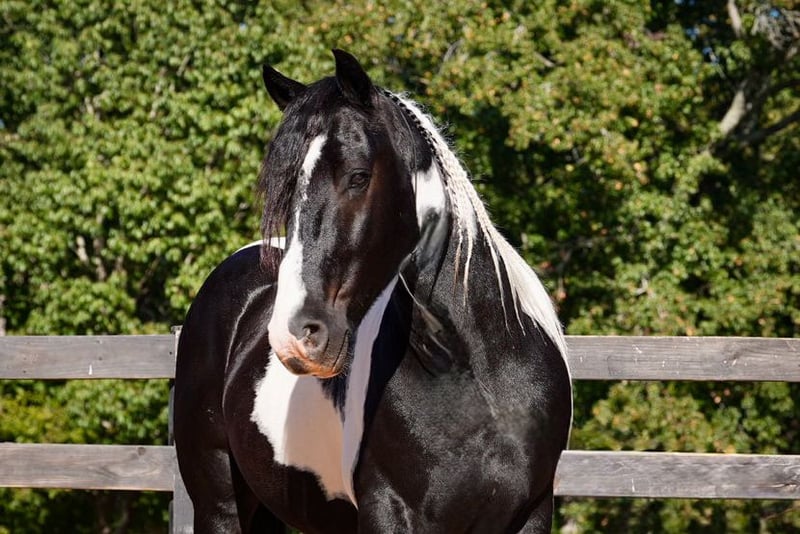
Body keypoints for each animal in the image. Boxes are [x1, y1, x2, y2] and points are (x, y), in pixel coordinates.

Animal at [174, 49, 572, 533]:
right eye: (286, 190)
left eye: (359, 177)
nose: (294, 336)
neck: (476, 381)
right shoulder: (388, 510)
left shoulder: (534, 511)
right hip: (219, 504)